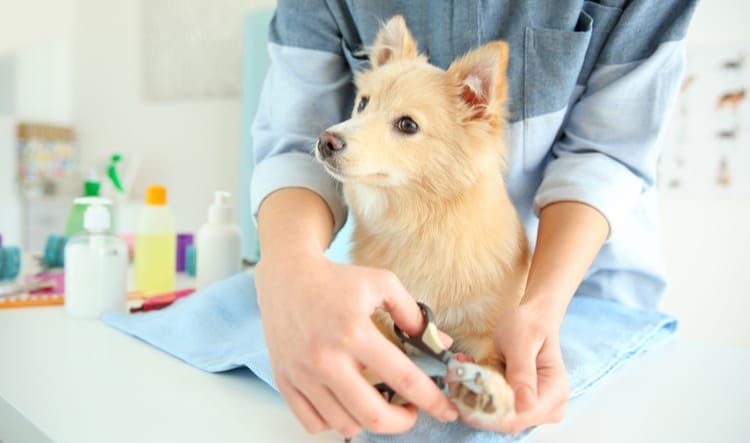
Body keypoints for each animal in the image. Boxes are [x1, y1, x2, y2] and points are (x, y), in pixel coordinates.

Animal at [314, 16, 532, 430]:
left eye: (407, 125)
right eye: (362, 103)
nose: (326, 140)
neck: (417, 224)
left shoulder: (488, 329)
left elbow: (494, 359)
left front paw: (490, 389)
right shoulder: (381, 314)